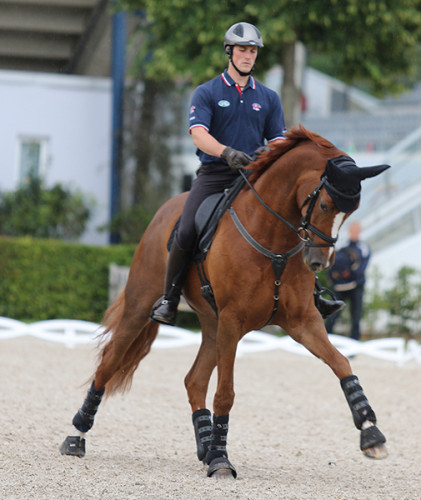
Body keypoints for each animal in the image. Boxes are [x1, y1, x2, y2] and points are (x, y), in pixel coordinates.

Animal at [60, 125, 388, 476]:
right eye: (326, 205)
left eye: (351, 211)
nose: (319, 262)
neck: (273, 238)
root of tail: (166, 208)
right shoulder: (233, 321)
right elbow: (225, 394)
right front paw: (221, 459)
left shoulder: (303, 322)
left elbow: (341, 363)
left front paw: (371, 433)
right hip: (142, 307)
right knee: (108, 363)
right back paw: (76, 436)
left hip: (212, 324)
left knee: (193, 380)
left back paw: (205, 445)